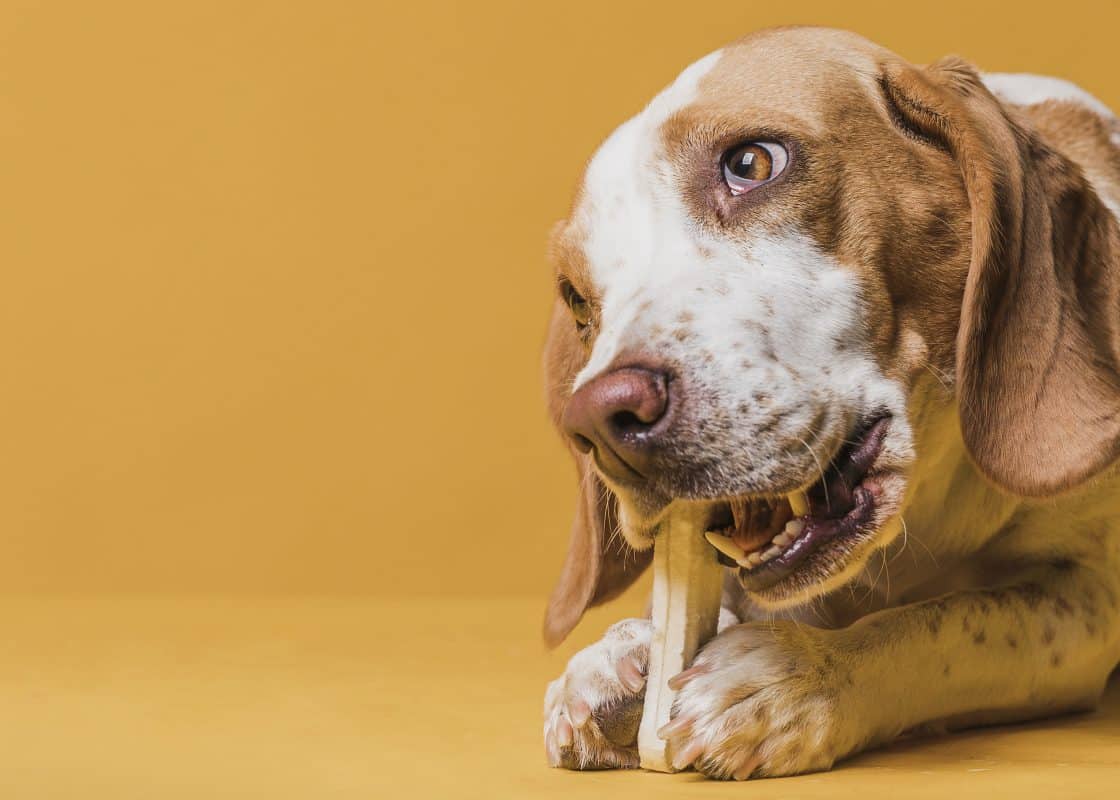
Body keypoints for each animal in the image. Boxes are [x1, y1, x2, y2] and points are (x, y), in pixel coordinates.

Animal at [537, 26, 1120, 779]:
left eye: (752, 162)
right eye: (578, 297)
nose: (601, 423)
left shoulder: (1088, 602)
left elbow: (948, 624)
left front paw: (801, 676)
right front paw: (621, 654)